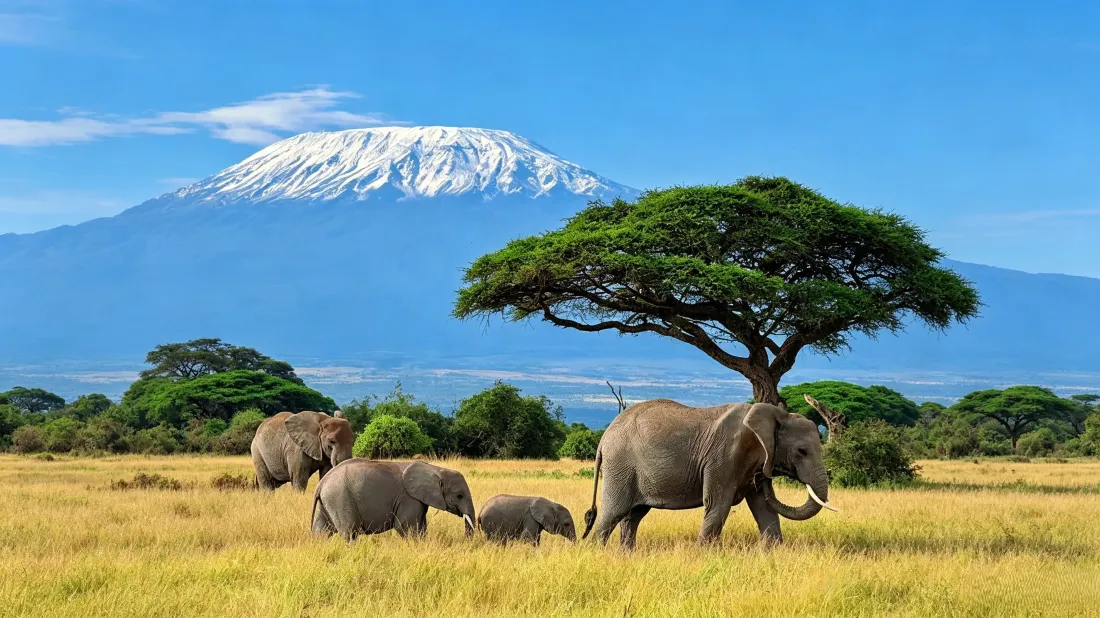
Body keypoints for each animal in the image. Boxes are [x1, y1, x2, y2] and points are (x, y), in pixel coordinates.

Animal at [311, 459, 477, 540]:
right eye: (459, 496)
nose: (467, 540)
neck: (436, 469)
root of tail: (321, 483)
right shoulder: (408, 498)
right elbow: (404, 525)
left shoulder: (418, 500)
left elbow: (421, 525)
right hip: (340, 498)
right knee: (350, 532)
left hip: (329, 500)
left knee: (321, 530)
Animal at [580, 399, 836, 550]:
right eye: (802, 451)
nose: (765, 476)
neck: (775, 416)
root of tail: (604, 437)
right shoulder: (724, 457)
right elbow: (718, 505)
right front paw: (703, 555)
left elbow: (764, 508)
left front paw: (773, 554)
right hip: (620, 465)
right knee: (613, 514)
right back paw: (598, 553)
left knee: (633, 517)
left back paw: (627, 555)